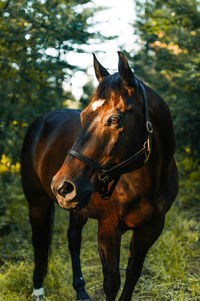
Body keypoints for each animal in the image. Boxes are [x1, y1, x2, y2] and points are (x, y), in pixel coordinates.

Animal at [20, 52, 178, 300]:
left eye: (114, 119)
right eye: (83, 116)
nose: (61, 186)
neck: (148, 184)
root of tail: (39, 123)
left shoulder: (150, 229)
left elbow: (132, 276)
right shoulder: (108, 229)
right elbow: (112, 283)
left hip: (77, 205)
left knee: (73, 240)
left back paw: (80, 289)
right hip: (37, 201)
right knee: (39, 239)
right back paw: (38, 288)